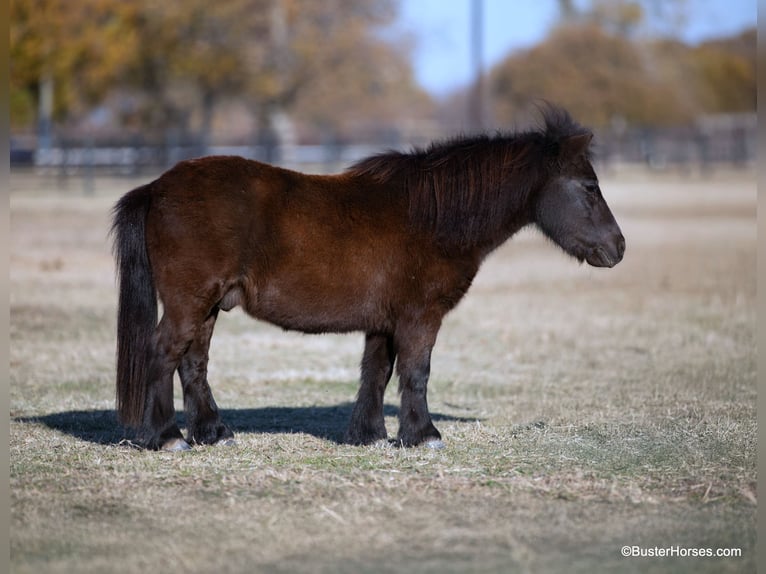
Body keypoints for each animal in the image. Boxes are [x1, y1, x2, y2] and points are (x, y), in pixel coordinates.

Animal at [111, 105, 625, 451]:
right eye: (590, 187)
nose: (618, 248)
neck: (431, 217)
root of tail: (157, 188)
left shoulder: (384, 322)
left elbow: (376, 372)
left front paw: (369, 435)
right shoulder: (420, 317)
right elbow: (416, 371)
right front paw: (424, 435)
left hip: (208, 306)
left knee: (193, 362)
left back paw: (213, 433)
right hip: (189, 302)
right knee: (164, 353)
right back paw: (167, 436)